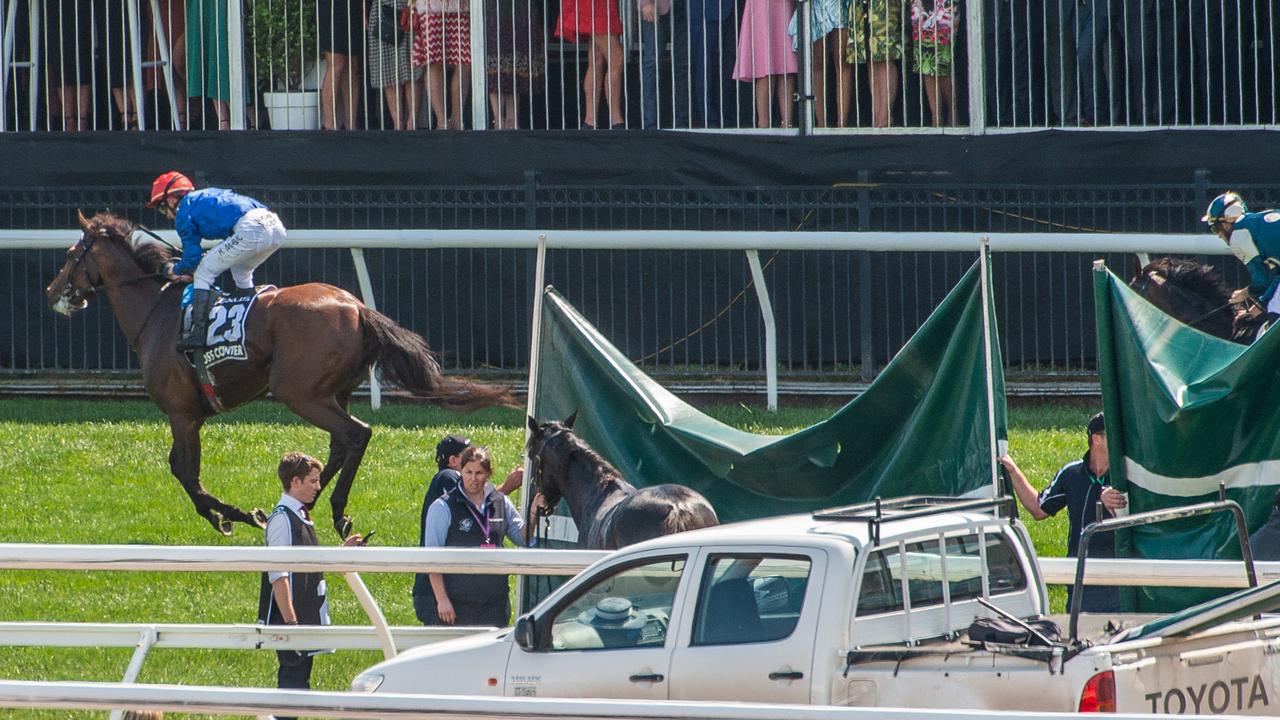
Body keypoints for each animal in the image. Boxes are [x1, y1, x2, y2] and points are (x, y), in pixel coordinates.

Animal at [45, 210, 514, 535]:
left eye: (70, 255)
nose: (52, 291)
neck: (157, 313)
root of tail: (357, 307)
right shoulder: (188, 415)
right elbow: (180, 469)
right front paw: (234, 515)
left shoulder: (183, 413)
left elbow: (185, 472)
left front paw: (230, 517)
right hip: (333, 391)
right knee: (341, 442)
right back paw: (308, 502)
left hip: (300, 392)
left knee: (356, 434)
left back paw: (334, 510)